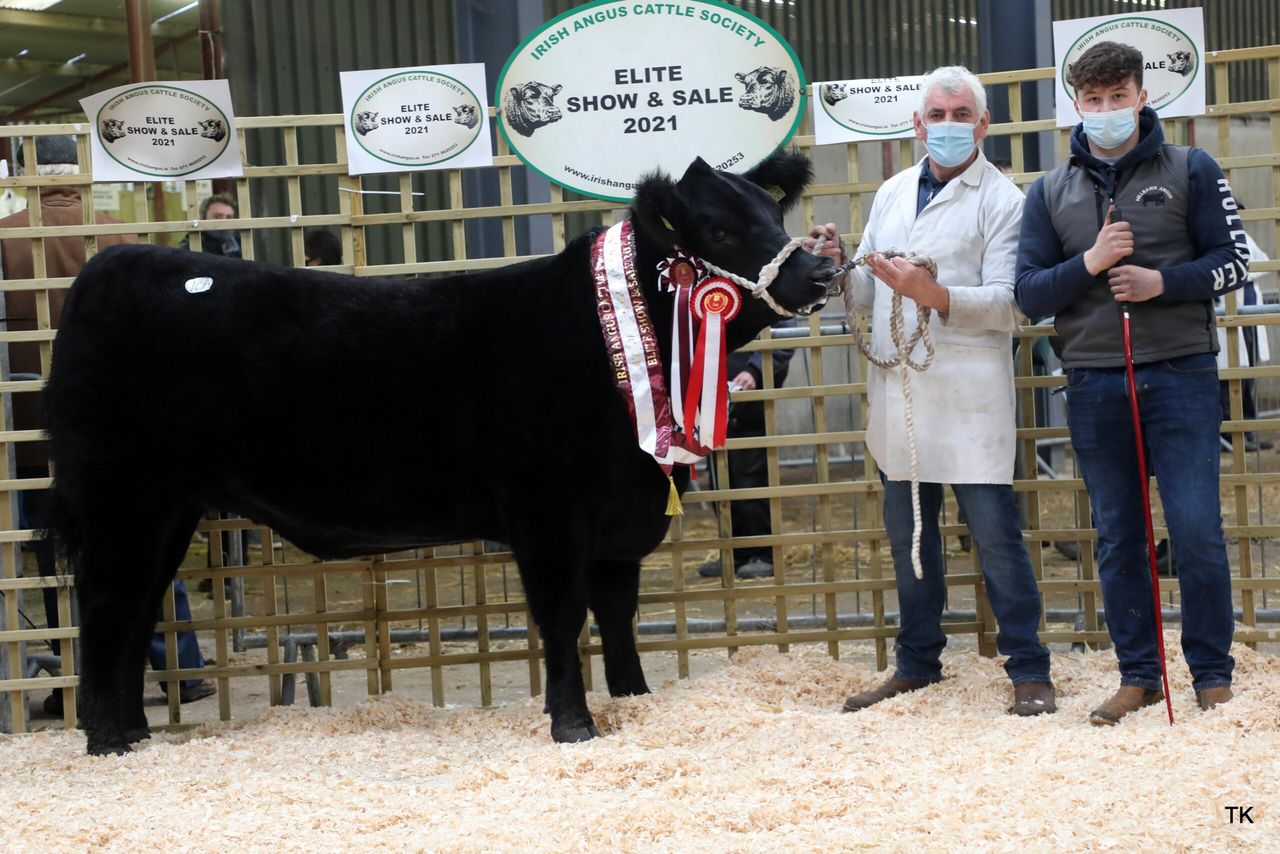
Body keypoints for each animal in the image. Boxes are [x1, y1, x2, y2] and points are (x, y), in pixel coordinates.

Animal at [43, 151, 840, 756]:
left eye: (774, 217)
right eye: (718, 228)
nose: (822, 273)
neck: (615, 332)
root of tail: (109, 265)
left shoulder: (620, 520)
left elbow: (618, 618)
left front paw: (635, 700)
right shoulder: (549, 514)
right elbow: (563, 617)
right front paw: (574, 726)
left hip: (168, 509)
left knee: (139, 608)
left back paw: (136, 733)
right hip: (122, 497)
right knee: (108, 605)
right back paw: (107, 741)